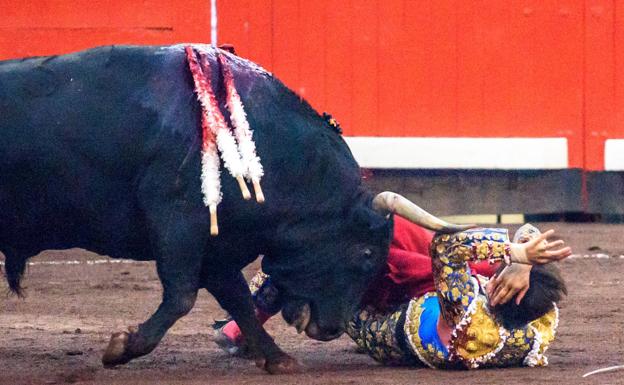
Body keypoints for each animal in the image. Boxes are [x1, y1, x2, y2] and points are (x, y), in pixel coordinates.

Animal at [0, 45, 394, 372]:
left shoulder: (220, 246)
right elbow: (183, 296)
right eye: (366, 254)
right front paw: (123, 347)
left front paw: (277, 359)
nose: (331, 329)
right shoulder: (177, 221)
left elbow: (238, 299)